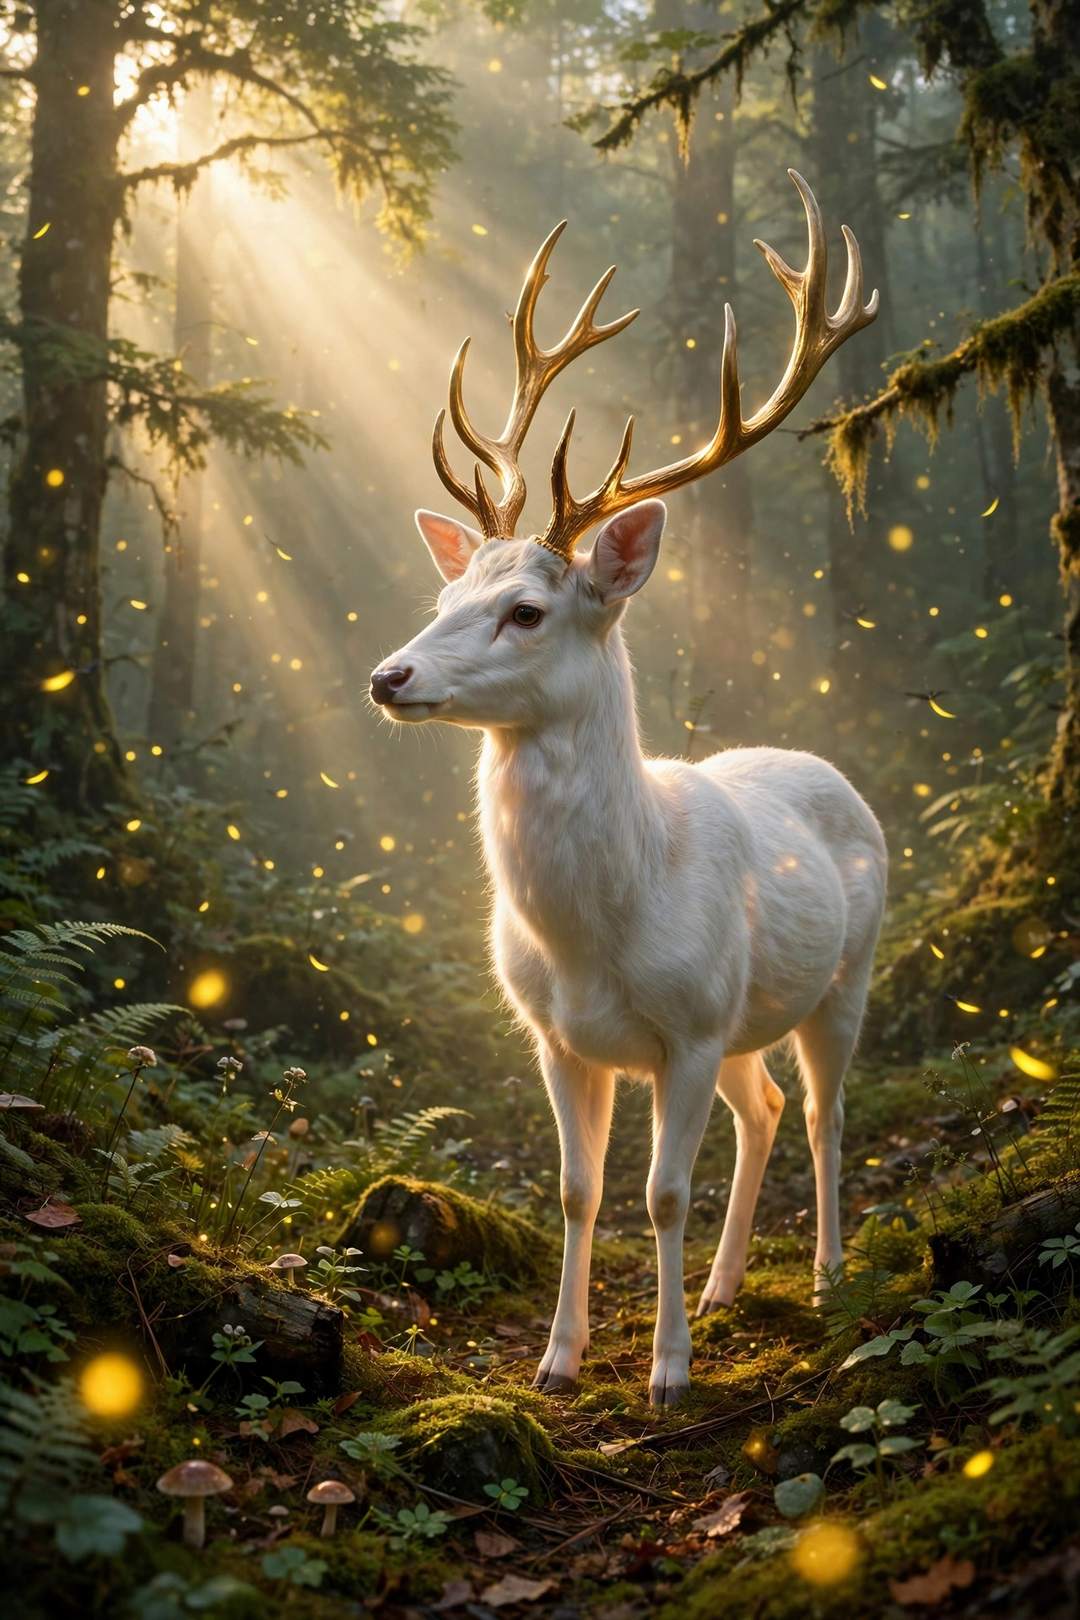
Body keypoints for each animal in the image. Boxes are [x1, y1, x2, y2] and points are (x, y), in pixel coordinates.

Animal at [370, 171, 887, 1407]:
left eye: (526, 610)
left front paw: (667, 1373)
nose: (387, 676)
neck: (595, 929)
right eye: (449, 590)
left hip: (847, 973)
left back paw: (826, 1276)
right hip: (751, 1017)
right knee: (769, 1108)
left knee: (827, 1113)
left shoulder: (689, 1027)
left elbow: (660, 1194)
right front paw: (558, 1360)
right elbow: (577, 1190)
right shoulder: (555, 1037)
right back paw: (729, 1285)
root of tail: (824, 764)